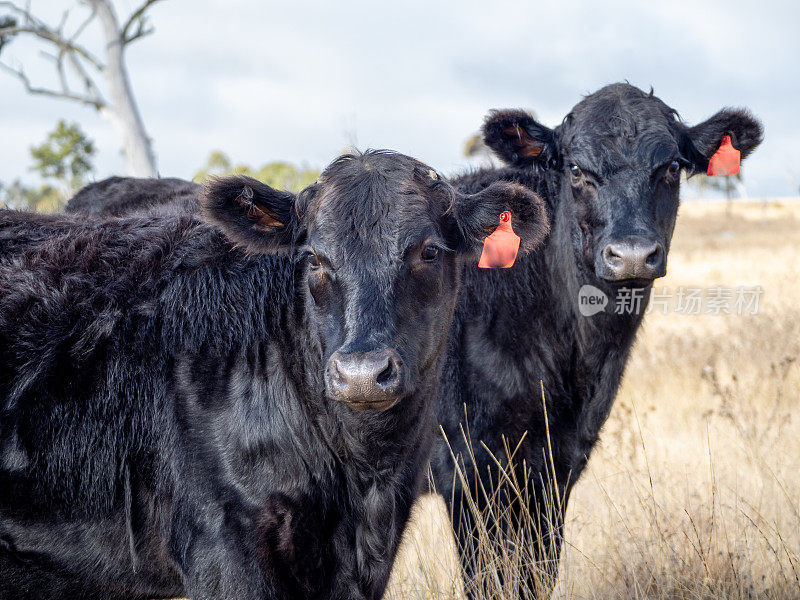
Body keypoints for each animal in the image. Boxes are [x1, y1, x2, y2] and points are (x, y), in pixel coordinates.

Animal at [428, 83, 764, 596]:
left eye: (671, 166)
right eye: (576, 169)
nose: (632, 254)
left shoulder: (555, 468)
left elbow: (536, 575)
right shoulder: (467, 469)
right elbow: (490, 579)